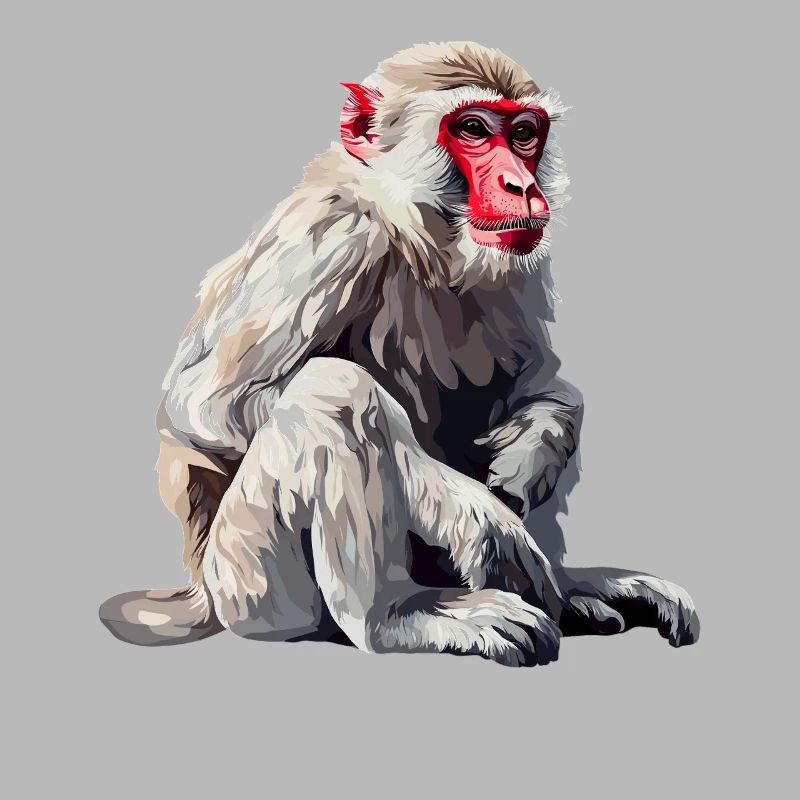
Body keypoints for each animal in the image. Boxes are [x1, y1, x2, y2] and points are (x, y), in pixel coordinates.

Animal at [99, 42, 699, 666]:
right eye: (473, 129)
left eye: (524, 134)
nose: (520, 185)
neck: (415, 227)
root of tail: (201, 593)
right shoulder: (334, 237)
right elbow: (204, 407)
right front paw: (469, 510)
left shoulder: (518, 260)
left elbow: (542, 384)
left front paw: (532, 452)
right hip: (250, 585)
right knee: (333, 392)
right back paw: (398, 617)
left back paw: (571, 591)